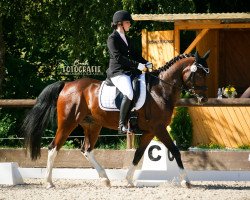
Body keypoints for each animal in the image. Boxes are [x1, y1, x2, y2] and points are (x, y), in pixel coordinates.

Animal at [21, 50, 210, 188]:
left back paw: (105, 179)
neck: (160, 90)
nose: (203, 99)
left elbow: (138, 154)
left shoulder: (150, 131)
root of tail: (67, 85)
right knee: (53, 148)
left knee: (86, 149)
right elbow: (175, 151)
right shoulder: (159, 128)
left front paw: (129, 180)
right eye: (200, 74)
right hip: (68, 123)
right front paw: (186, 181)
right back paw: (48, 182)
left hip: (93, 125)